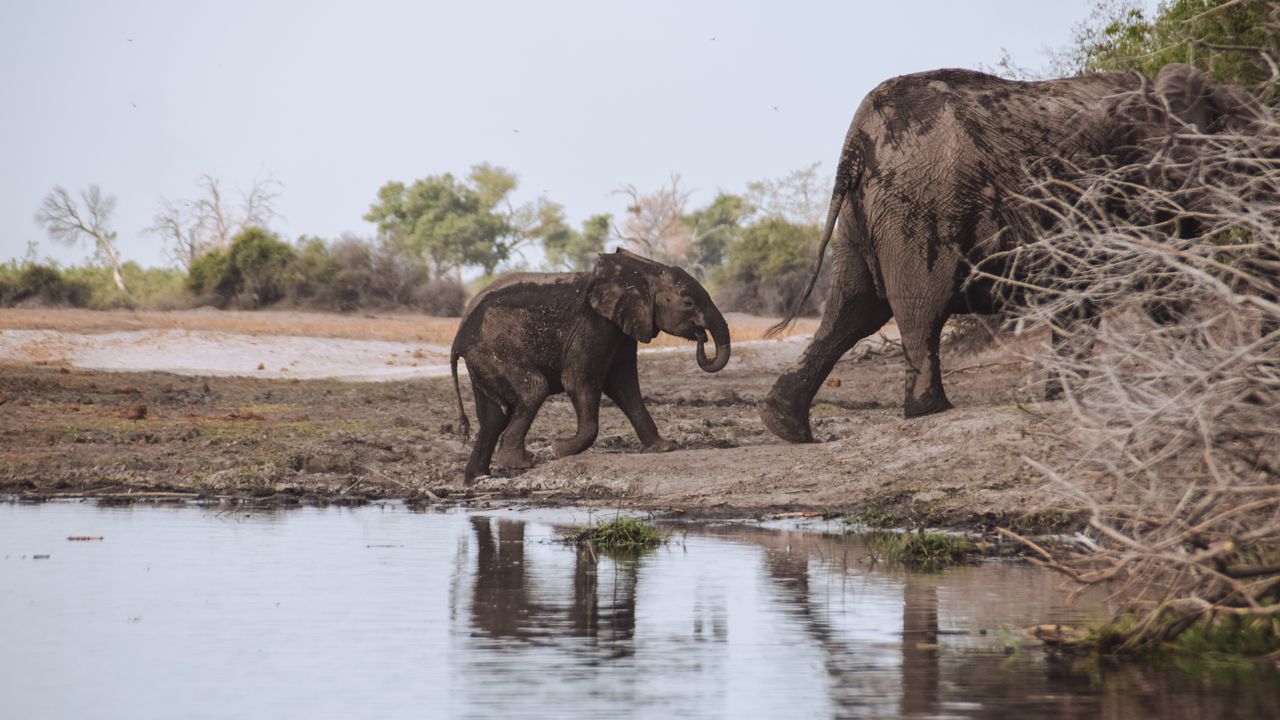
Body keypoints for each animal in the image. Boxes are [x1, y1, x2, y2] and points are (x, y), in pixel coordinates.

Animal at [450, 248, 732, 481]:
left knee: (492, 417)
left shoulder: (622, 329)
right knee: (534, 389)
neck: (641, 272)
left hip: (481, 361)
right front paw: (559, 448)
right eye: (689, 303)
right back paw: (519, 463)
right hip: (494, 351)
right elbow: (579, 380)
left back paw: (478, 478)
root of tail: (457, 340)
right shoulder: (593, 325)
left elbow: (625, 387)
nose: (701, 336)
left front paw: (663, 448)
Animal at [752, 63, 1264, 443]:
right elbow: (1161, 288)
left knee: (853, 309)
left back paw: (784, 424)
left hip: (870, 211)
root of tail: (857, 139)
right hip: (920, 203)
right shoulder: (1140, 187)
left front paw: (1059, 397)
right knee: (918, 307)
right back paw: (933, 412)